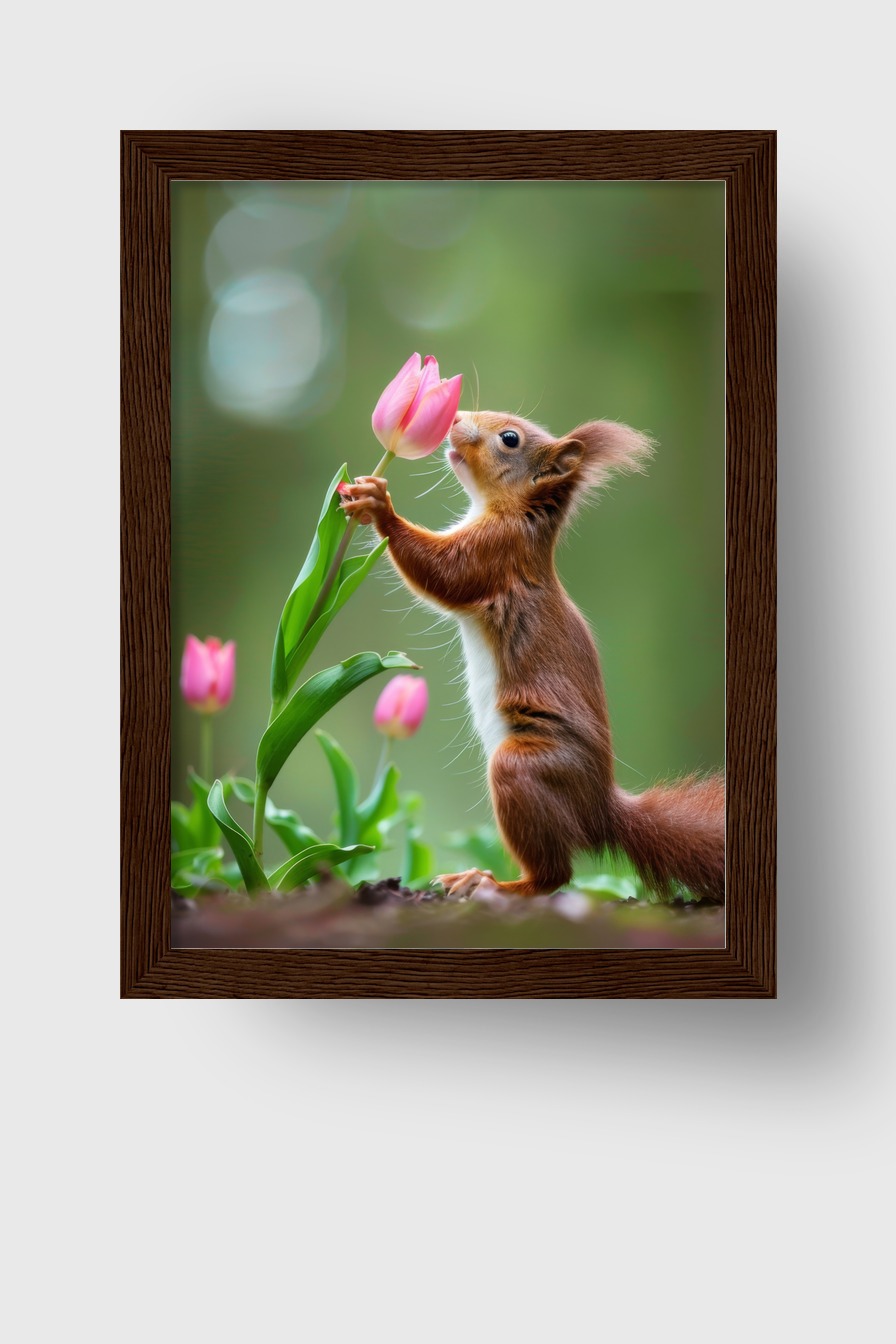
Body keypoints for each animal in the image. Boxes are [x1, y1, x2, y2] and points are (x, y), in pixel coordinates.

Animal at [339, 410, 725, 902]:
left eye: (510, 439)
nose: (457, 417)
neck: (515, 513)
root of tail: (600, 812)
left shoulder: (496, 552)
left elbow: (445, 571)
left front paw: (380, 507)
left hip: (524, 770)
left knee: (554, 876)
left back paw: (494, 884)